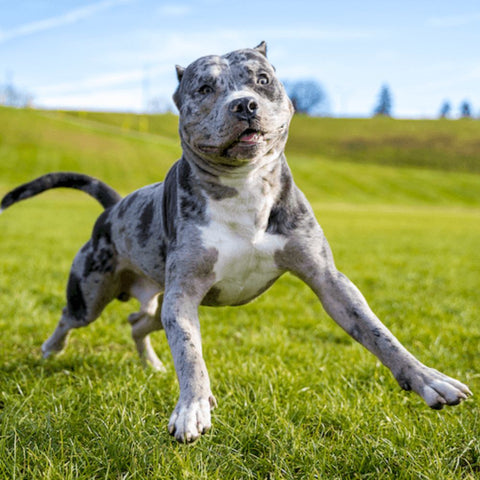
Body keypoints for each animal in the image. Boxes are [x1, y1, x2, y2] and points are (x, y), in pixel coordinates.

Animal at [0, 42, 472, 442]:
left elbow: (378, 333)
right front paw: (192, 407)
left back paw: (151, 364)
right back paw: (50, 350)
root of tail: (115, 207)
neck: (242, 185)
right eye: (204, 87)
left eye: (261, 79)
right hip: (95, 290)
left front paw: (428, 378)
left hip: (156, 300)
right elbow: (191, 355)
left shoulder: (329, 281)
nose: (245, 104)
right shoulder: (183, 297)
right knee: (72, 318)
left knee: (138, 322)